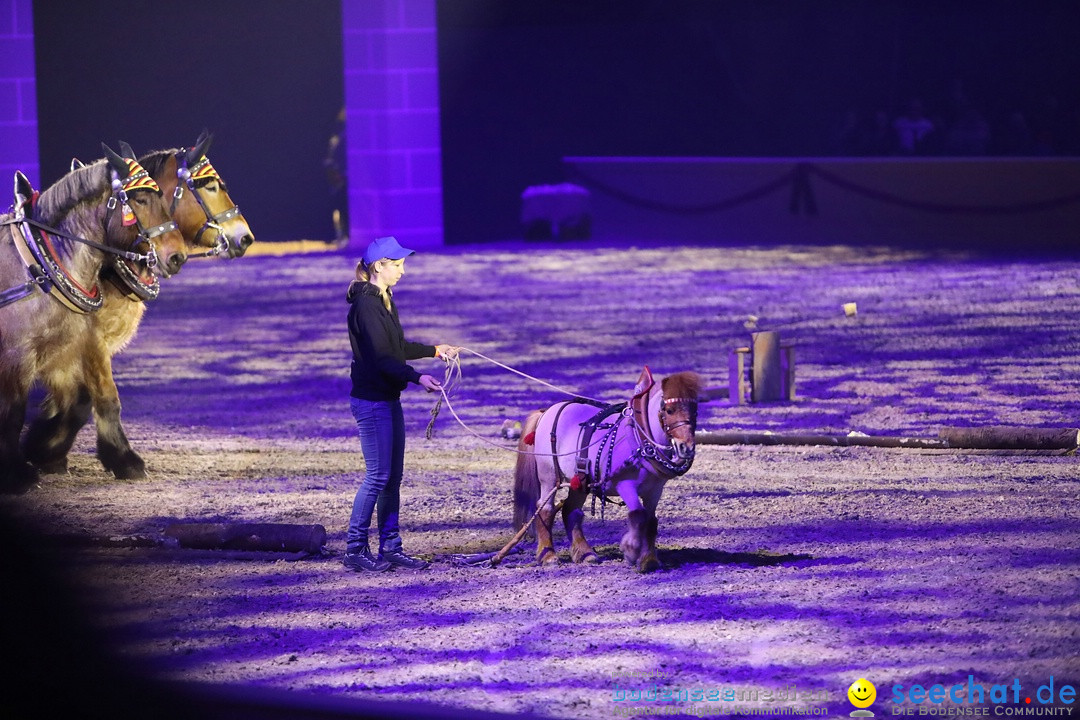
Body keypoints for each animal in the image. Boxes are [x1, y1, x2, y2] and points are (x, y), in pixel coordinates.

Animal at [0, 146, 187, 496]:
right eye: (140, 199)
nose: (177, 256)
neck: (36, 265)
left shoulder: (64, 351)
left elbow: (88, 400)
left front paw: (46, 452)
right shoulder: (20, 355)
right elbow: (13, 413)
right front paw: (17, 473)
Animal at [25, 132, 254, 481]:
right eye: (212, 186)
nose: (245, 237)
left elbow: (72, 400)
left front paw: (46, 448)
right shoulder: (87, 341)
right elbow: (100, 399)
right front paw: (122, 459)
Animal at [511, 369, 699, 569]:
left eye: (695, 411)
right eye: (669, 410)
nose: (686, 448)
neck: (639, 438)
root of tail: (547, 411)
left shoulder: (655, 490)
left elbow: (650, 521)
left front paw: (649, 560)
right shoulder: (625, 485)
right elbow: (638, 514)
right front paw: (630, 550)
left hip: (580, 480)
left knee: (571, 511)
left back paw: (585, 553)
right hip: (549, 475)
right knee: (545, 509)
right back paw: (548, 556)